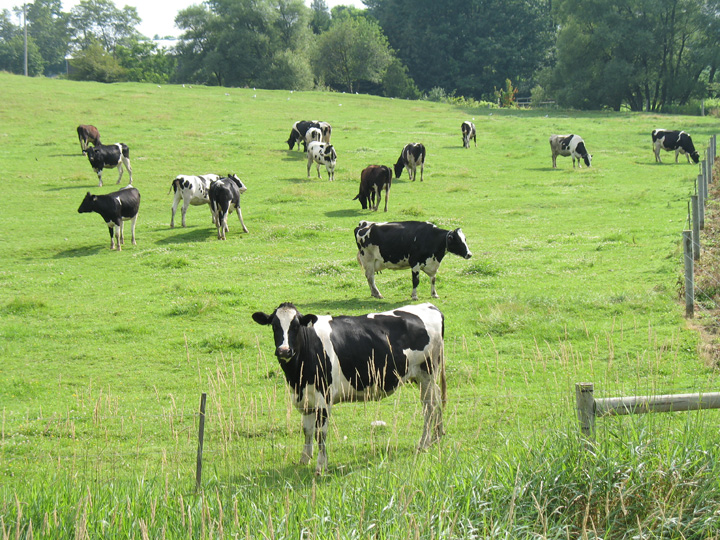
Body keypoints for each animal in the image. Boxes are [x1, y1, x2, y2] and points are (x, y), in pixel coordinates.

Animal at [252, 302, 444, 474]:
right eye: (274, 325)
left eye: (296, 326)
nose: (284, 351)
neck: (297, 377)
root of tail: (430, 306)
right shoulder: (306, 399)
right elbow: (307, 430)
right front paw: (304, 459)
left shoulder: (323, 398)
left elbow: (320, 433)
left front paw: (321, 467)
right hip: (423, 378)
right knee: (437, 400)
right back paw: (436, 437)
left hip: (427, 373)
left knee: (429, 407)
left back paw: (423, 443)